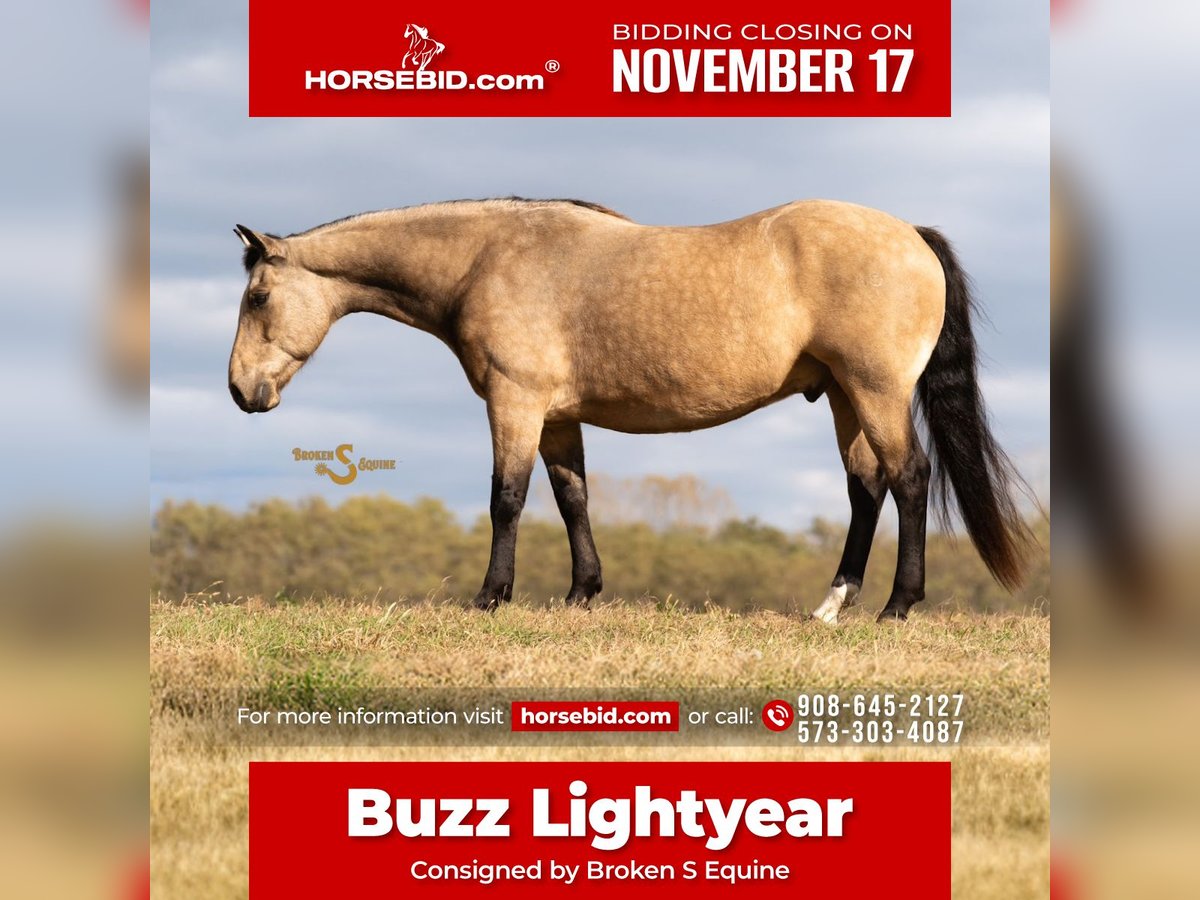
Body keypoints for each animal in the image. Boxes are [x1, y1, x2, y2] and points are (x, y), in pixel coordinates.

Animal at [228, 197, 1035, 622]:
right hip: (843, 393)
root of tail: (910, 234)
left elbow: (507, 498)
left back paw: (899, 604)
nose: (241, 392)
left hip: (875, 390)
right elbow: (572, 498)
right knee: (866, 487)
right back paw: (833, 603)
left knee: (909, 477)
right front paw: (582, 593)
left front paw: (491, 597)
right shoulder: (556, 416)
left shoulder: (516, 402)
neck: (486, 259)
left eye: (258, 297)